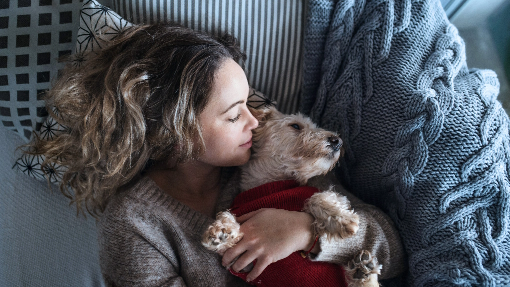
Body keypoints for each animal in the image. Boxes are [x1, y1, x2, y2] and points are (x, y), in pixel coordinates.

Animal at [201, 107, 380, 287]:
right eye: (295, 126)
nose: (337, 140)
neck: (272, 184)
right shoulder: (243, 264)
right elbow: (228, 242)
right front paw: (221, 231)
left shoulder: (327, 195)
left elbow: (317, 198)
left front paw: (341, 219)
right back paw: (361, 271)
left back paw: (364, 270)